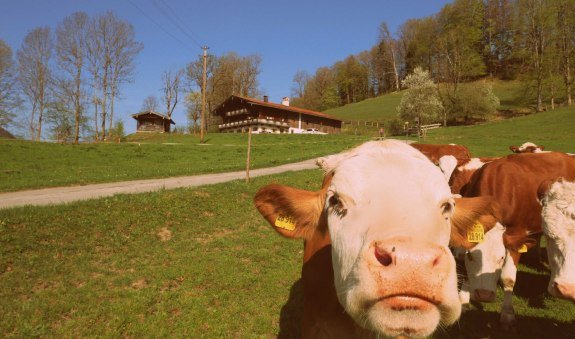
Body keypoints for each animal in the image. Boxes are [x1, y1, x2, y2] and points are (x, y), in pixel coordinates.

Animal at [452, 153, 575, 330]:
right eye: (470, 256)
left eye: (501, 258)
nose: (483, 295)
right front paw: (463, 298)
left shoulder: (515, 238)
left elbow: (508, 278)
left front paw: (507, 314)